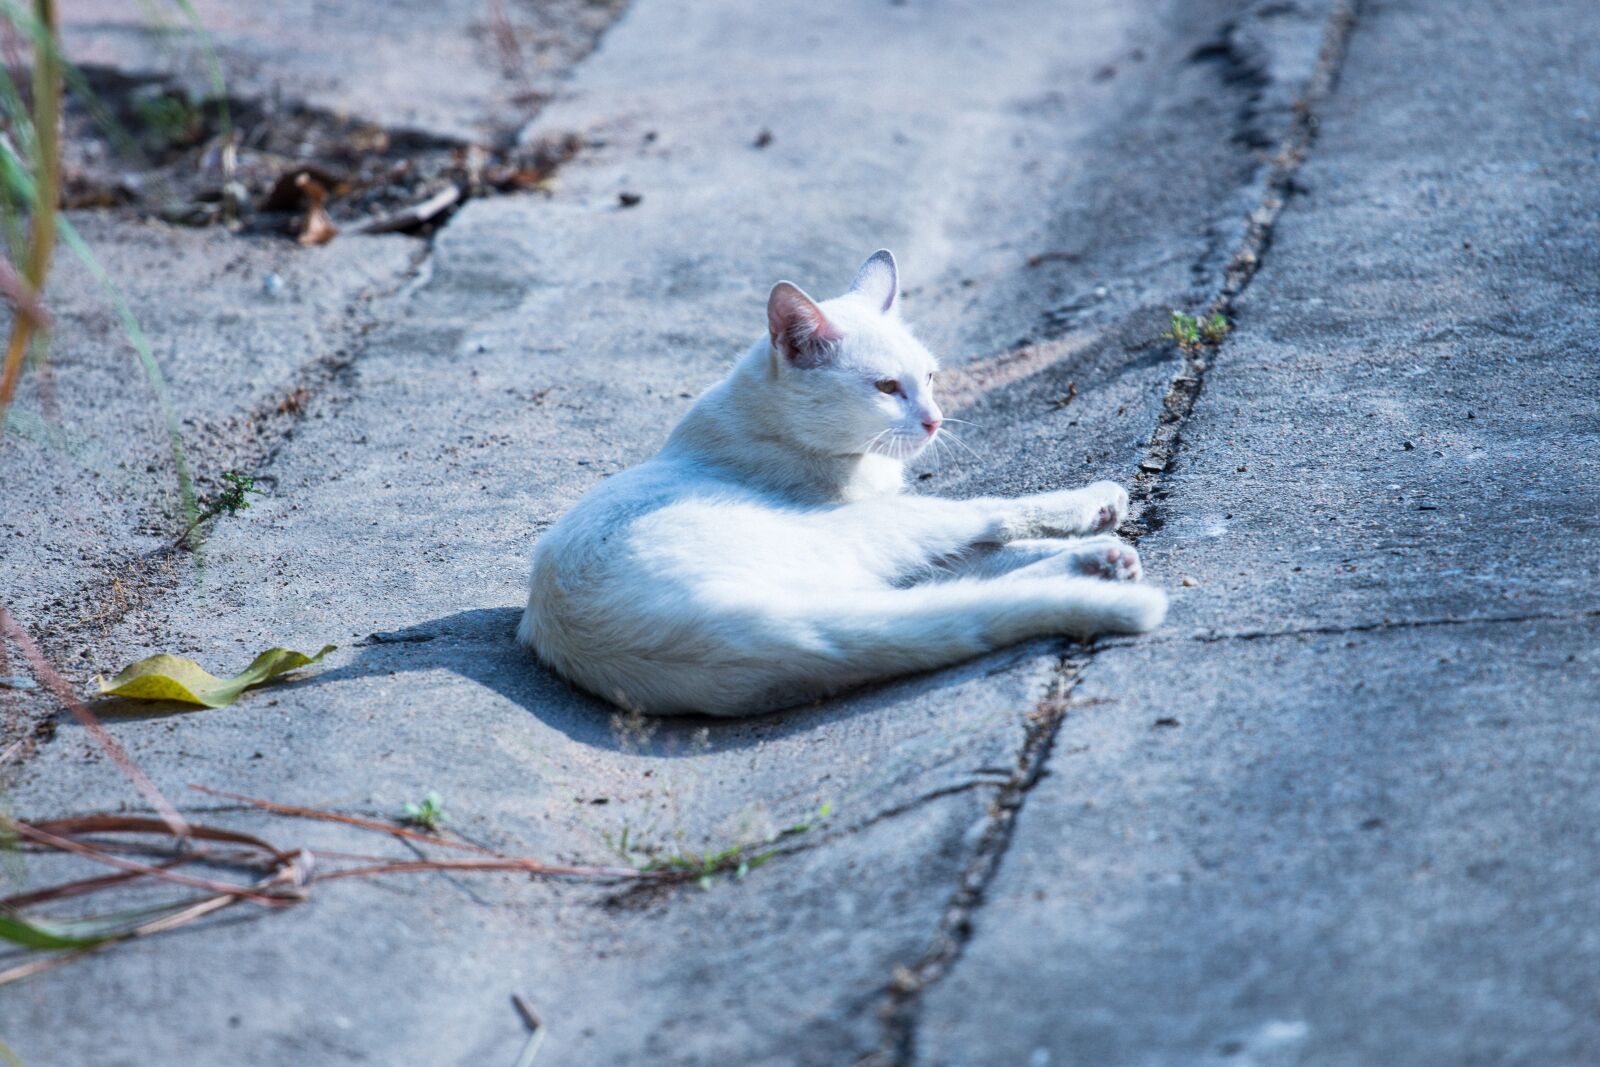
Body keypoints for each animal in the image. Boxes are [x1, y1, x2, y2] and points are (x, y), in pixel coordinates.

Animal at [518, 251, 1171, 716]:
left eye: (930, 378)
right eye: (886, 388)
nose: (934, 420)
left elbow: (980, 559)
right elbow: (989, 529)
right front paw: (1095, 513)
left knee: (939, 589)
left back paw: (1100, 562)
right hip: (866, 531)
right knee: (975, 532)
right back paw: (1096, 531)